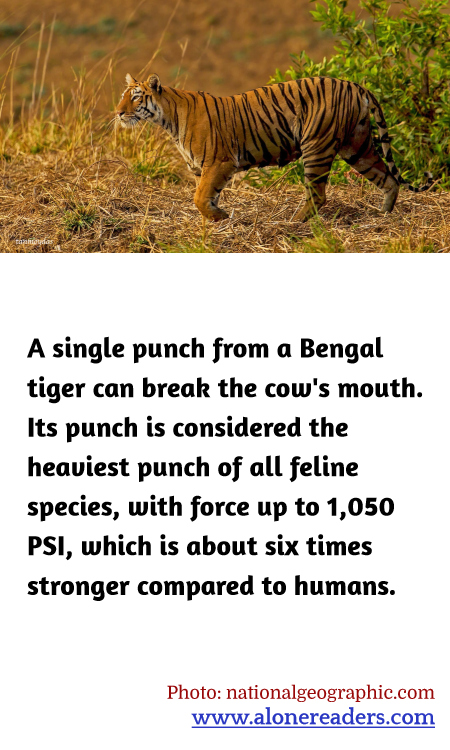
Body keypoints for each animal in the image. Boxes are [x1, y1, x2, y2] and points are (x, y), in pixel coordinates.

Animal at [116, 73, 433, 223]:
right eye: (123, 96)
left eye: (135, 97)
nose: (118, 113)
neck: (167, 118)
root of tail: (356, 85)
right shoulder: (201, 169)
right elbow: (205, 198)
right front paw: (217, 220)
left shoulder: (219, 162)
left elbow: (200, 198)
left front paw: (223, 218)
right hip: (356, 145)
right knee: (388, 178)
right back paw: (383, 215)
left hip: (317, 146)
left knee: (318, 195)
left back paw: (294, 222)